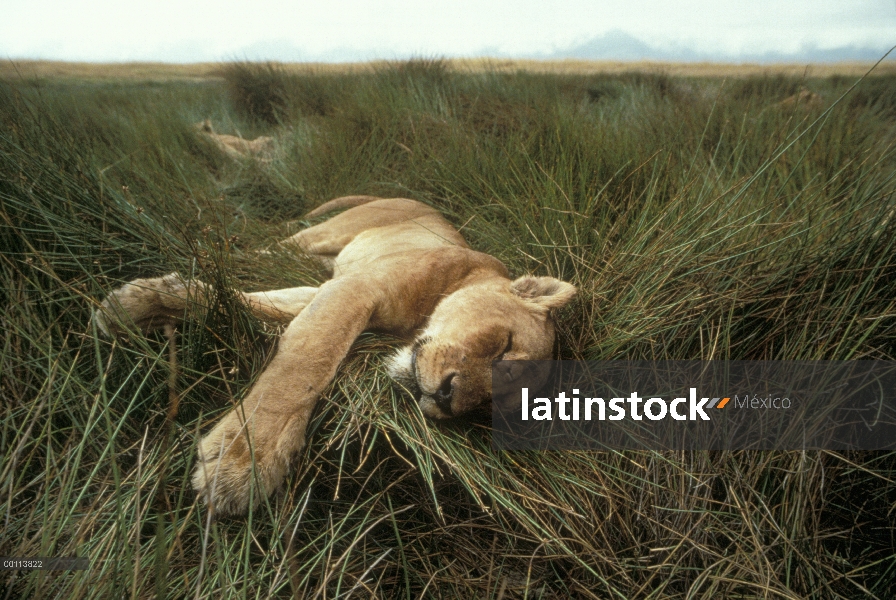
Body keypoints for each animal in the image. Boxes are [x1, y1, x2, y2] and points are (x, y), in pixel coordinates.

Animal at [94, 197, 576, 516]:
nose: (445, 398)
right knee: (260, 248)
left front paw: (141, 304)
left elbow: (249, 302)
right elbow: (308, 360)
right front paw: (244, 461)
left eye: (484, 408)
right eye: (503, 347)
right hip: (320, 235)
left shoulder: (328, 289)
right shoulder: (359, 287)